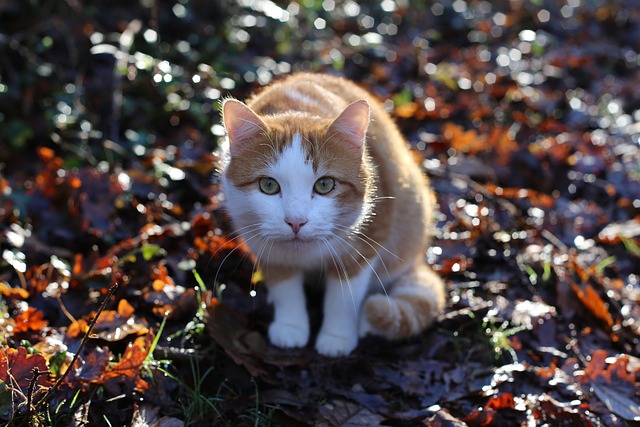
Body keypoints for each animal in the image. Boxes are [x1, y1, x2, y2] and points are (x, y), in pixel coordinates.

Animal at [220, 73, 444, 358]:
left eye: (325, 185)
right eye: (268, 185)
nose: (296, 221)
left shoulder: (368, 240)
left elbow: (344, 297)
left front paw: (337, 337)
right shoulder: (264, 243)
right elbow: (285, 287)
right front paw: (291, 325)